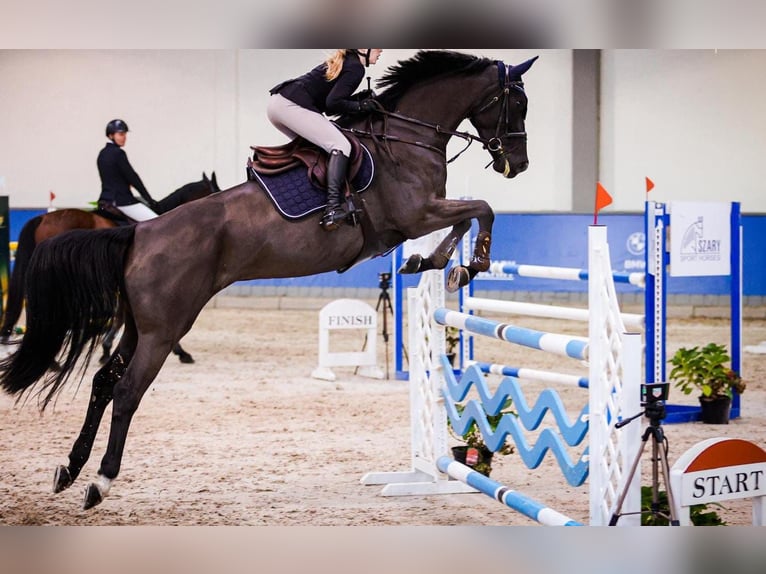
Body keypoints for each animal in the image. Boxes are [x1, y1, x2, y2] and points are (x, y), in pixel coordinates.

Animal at [0, 48, 536, 508]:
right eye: (517, 104)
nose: (519, 165)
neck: (406, 137)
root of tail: (140, 232)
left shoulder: (422, 216)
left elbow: (467, 218)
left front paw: (430, 264)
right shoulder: (416, 214)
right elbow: (480, 210)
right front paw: (466, 264)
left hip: (138, 325)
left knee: (103, 381)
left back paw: (70, 469)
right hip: (164, 328)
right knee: (128, 390)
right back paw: (100, 481)